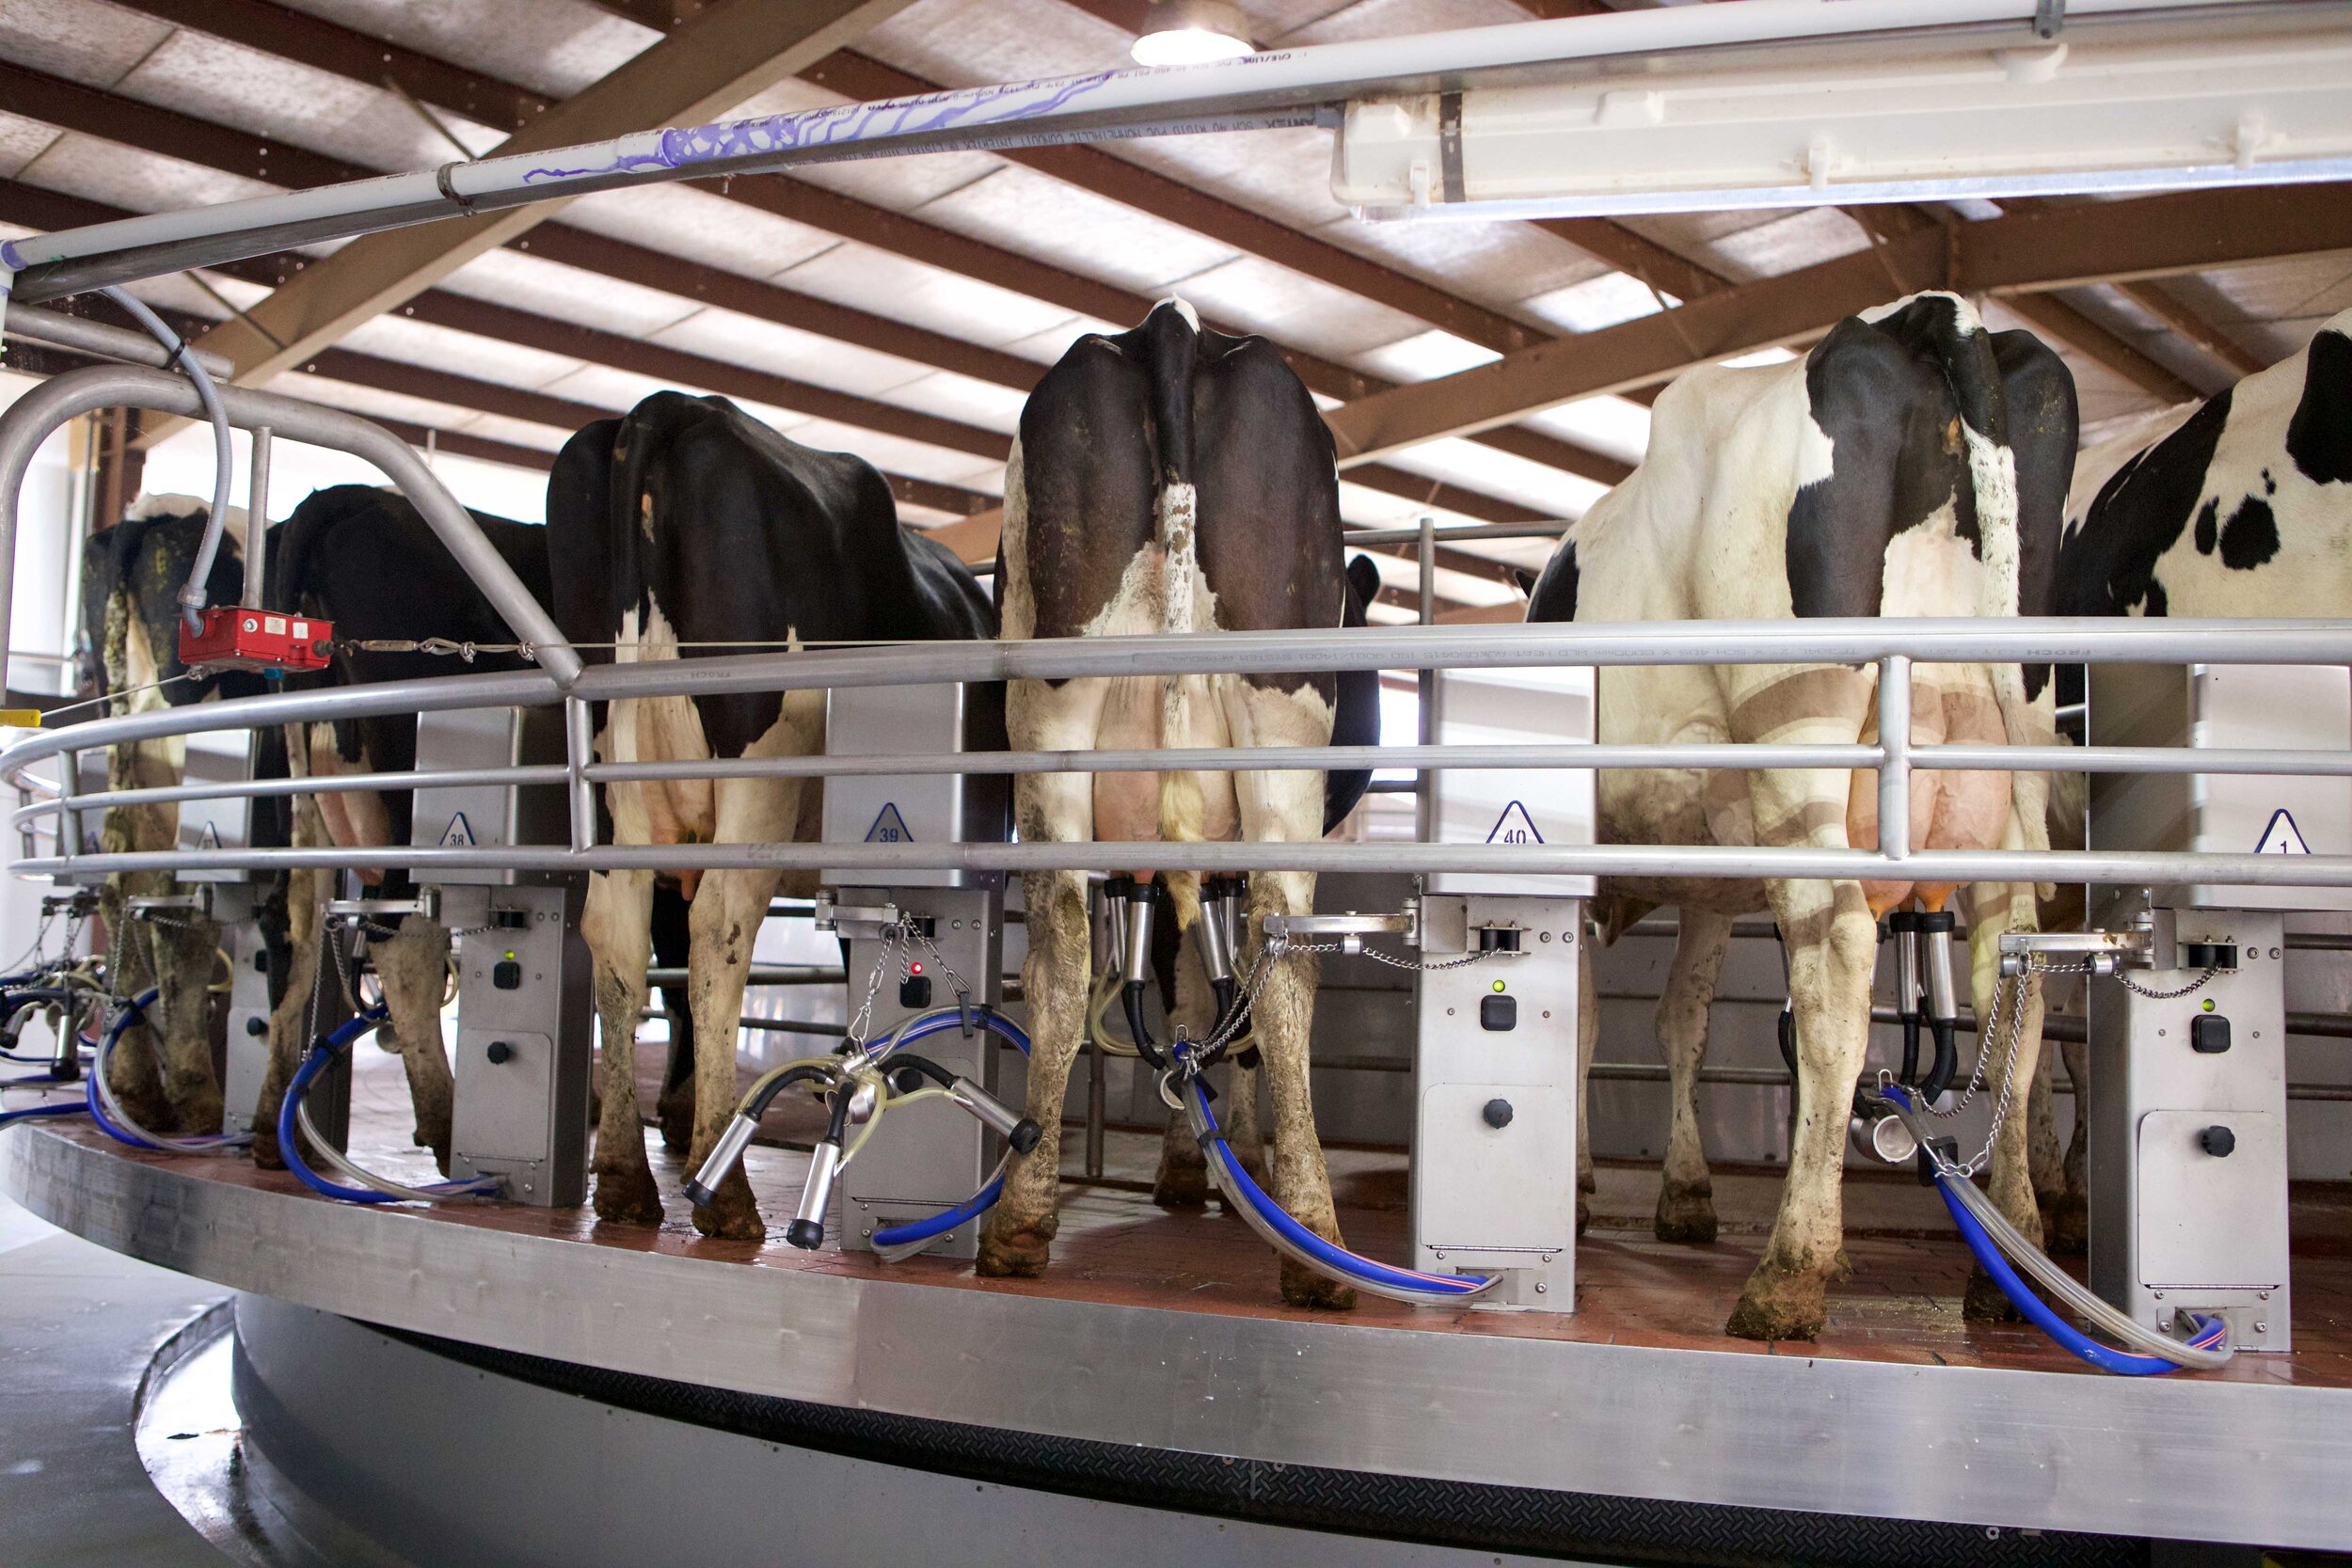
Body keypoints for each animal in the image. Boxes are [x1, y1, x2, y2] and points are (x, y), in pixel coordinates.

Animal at [548, 389, 993, 1241]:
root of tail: (670, 408)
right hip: (757, 765)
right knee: (720, 932)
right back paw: (722, 1189)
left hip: (617, 789)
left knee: (618, 942)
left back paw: (624, 1176)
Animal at [1524, 291, 2079, 1335]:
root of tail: (1916, 318)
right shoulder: (1710, 874)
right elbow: (1681, 1018)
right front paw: (1684, 1190)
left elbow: (1582, 1019)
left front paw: (1573, 1185)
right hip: (2004, 756)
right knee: (2013, 970)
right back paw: (2010, 1261)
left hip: (1802, 732)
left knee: (1839, 959)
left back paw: (1792, 1266)